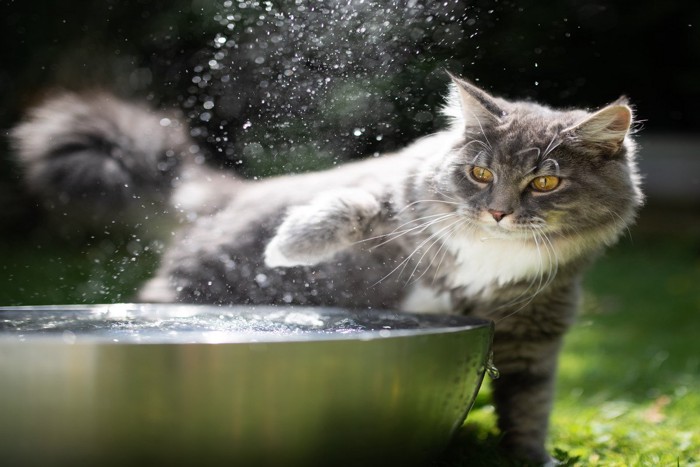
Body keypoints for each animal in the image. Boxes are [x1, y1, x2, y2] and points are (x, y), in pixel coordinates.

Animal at [12, 74, 644, 464]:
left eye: (545, 181)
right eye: (481, 174)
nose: (498, 211)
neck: (491, 251)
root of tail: (223, 198)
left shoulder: (536, 329)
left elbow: (529, 404)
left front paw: (530, 458)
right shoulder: (396, 192)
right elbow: (353, 205)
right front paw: (290, 245)